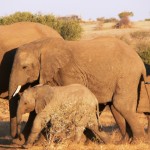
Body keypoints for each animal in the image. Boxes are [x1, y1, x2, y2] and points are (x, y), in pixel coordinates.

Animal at [8, 37, 149, 143]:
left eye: (24, 67)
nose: (17, 139)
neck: (40, 45)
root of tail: (140, 62)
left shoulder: (69, 72)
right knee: (115, 107)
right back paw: (123, 142)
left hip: (127, 75)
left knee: (120, 105)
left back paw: (137, 142)